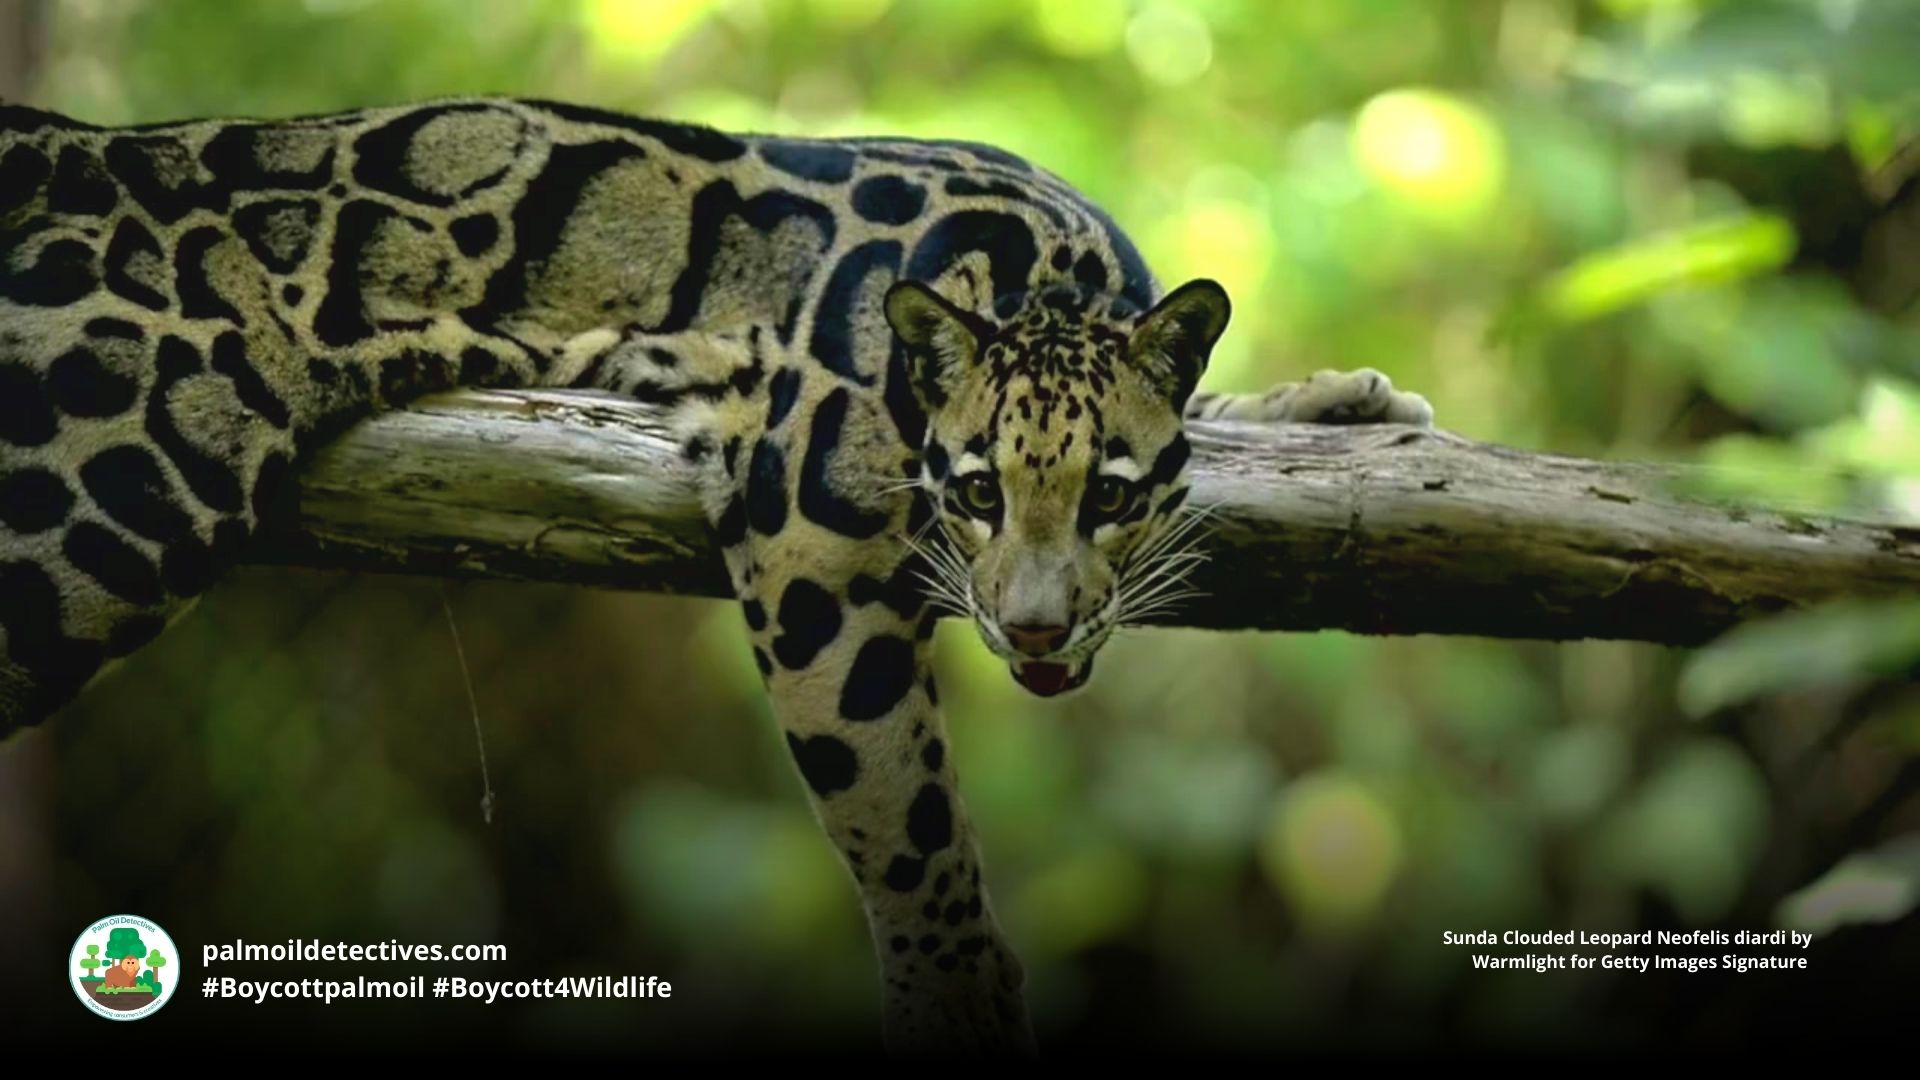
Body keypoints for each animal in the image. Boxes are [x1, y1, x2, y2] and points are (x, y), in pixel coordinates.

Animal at [0, 96, 1431, 1053]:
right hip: (95, 494)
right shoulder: (807, 538)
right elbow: (903, 816)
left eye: (1113, 498)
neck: (1051, 279)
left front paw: (1333, 400)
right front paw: (955, 991)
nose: (1032, 629)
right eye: (976, 493)